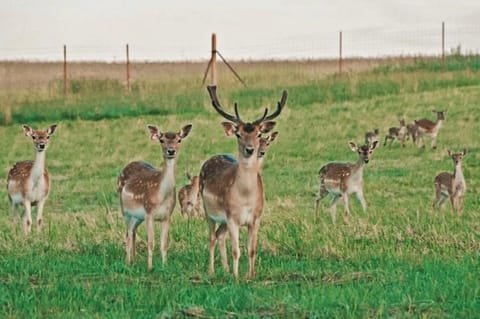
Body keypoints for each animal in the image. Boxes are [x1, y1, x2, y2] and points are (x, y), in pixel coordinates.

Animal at [117, 124, 192, 272]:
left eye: (179, 140)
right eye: (161, 140)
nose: (171, 151)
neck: (161, 196)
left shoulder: (167, 216)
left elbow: (164, 243)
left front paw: (165, 266)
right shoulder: (149, 212)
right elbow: (151, 242)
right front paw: (150, 267)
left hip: (137, 217)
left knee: (133, 232)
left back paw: (134, 260)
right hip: (125, 211)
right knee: (128, 234)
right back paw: (127, 262)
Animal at [199, 85, 284, 280]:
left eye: (259, 134)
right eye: (238, 134)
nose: (250, 149)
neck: (245, 197)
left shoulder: (256, 218)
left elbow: (251, 250)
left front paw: (250, 275)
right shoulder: (232, 217)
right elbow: (236, 250)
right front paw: (237, 277)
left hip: (222, 219)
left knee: (220, 235)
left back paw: (225, 269)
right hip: (208, 210)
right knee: (211, 237)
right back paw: (212, 271)